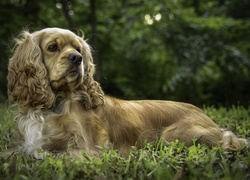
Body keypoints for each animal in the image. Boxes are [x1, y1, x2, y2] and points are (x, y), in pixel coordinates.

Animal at [2, 27, 248, 158]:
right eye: (53, 47)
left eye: (79, 49)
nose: (77, 58)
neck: (53, 105)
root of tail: (208, 117)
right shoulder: (27, 143)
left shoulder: (87, 148)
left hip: (173, 136)